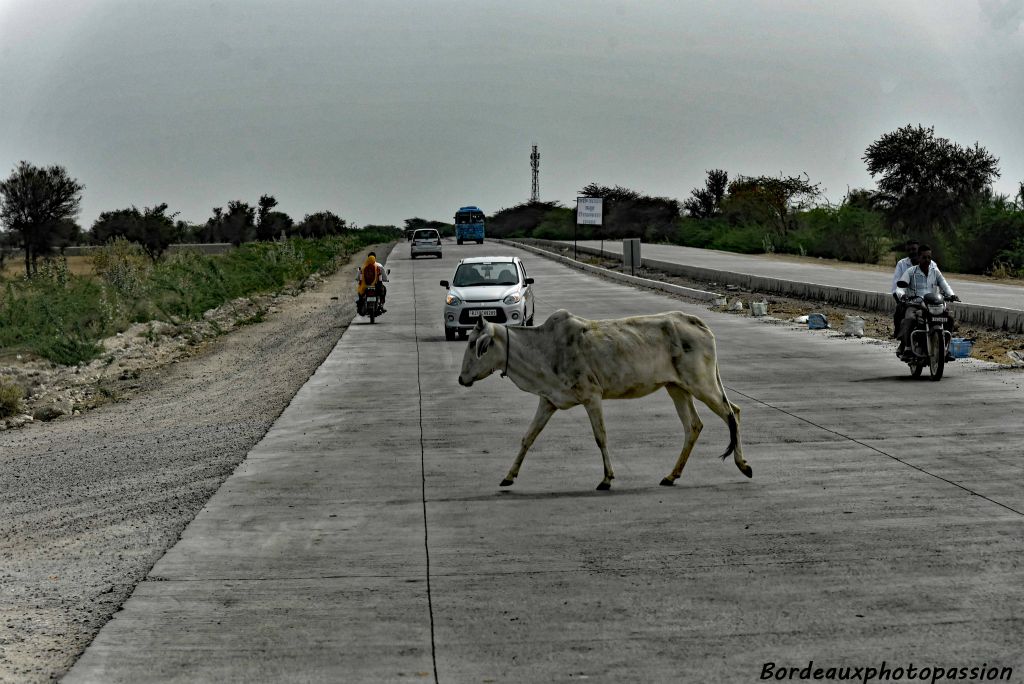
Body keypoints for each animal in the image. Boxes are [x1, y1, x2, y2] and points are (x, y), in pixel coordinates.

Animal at [458, 309, 753, 491]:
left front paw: (607, 479)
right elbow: (528, 437)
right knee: (694, 425)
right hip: (677, 388)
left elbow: (601, 437)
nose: (461, 379)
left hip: (701, 384)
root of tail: (697, 322)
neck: (543, 349)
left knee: (732, 413)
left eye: (475, 345)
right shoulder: (548, 401)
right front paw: (508, 476)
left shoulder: (592, 396)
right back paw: (671, 475)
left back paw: (743, 465)